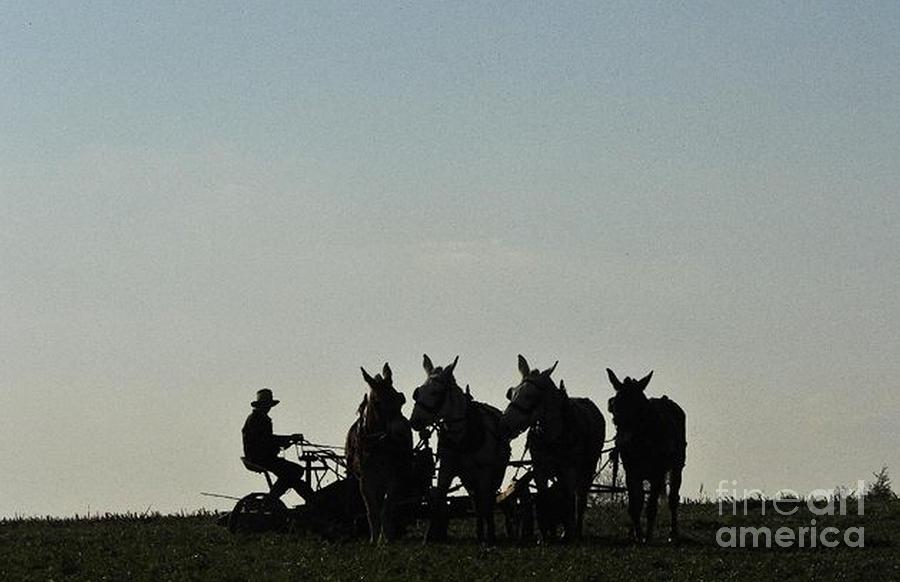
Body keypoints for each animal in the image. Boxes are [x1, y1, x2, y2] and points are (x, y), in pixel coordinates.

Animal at [344, 362, 414, 544]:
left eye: (401, 399)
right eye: (377, 403)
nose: (402, 433)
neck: (378, 443)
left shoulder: (394, 478)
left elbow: (386, 510)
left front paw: (387, 540)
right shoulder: (365, 481)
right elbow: (372, 512)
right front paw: (373, 541)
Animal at [410, 356, 510, 548]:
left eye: (435, 392)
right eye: (418, 391)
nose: (414, 422)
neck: (462, 437)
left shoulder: (484, 473)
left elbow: (486, 504)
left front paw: (490, 538)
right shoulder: (446, 469)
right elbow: (439, 497)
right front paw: (428, 536)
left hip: (494, 474)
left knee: (487, 501)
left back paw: (489, 534)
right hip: (468, 478)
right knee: (476, 501)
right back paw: (480, 534)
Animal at [500, 356, 604, 544]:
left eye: (529, 395)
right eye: (511, 393)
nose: (504, 425)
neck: (554, 435)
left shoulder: (570, 470)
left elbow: (570, 500)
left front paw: (568, 534)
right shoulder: (540, 470)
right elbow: (545, 498)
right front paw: (546, 536)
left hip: (587, 469)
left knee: (580, 498)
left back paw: (575, 531)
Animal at [608, 370, 684, 544]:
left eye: (639, 406)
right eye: (615, 405)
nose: (622, 439)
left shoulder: (658, 474)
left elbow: (651, 507)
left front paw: (648, 538)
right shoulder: (631, 473)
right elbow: (634, 506)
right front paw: (638, 535)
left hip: (677, 467)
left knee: (673, 499)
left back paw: (673, 534)